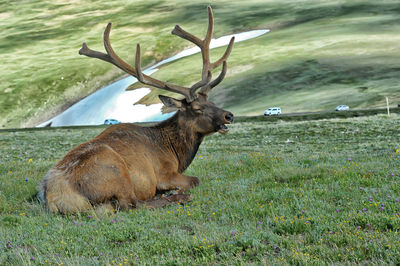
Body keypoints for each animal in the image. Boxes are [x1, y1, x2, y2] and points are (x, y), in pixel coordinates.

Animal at [37, 6, 234, 214]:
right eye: (197, 108)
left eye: (210, 100)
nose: (228, 115)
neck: (175, 154)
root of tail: (55, 197)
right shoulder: (164, 173)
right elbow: (196, 179)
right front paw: (174, 191)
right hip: (115, 171)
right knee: (131, 204)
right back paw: (177, 197)